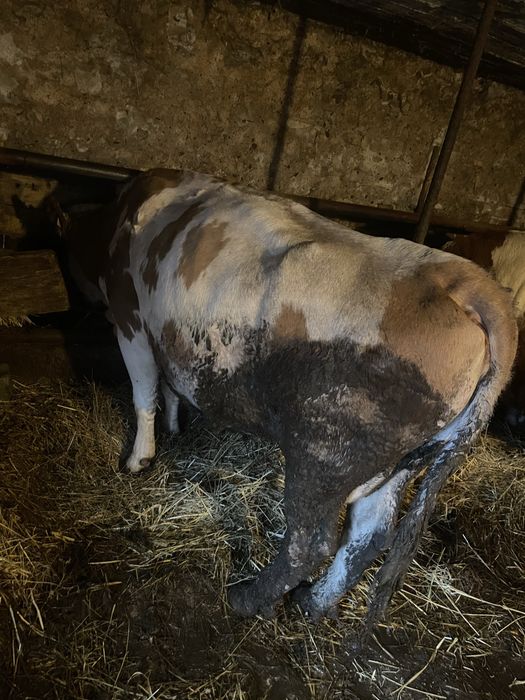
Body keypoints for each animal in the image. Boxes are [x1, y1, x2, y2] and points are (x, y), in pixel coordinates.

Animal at [63, 169, 517, 625]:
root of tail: (467, 283)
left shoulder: (130, 318)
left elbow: (143, 392)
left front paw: (138, 458)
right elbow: (171, 388)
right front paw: (174, 427)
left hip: (326, 452)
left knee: (309, 543)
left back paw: (247, 598)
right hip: (405, 459)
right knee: (369, 533)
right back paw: (313, 602)